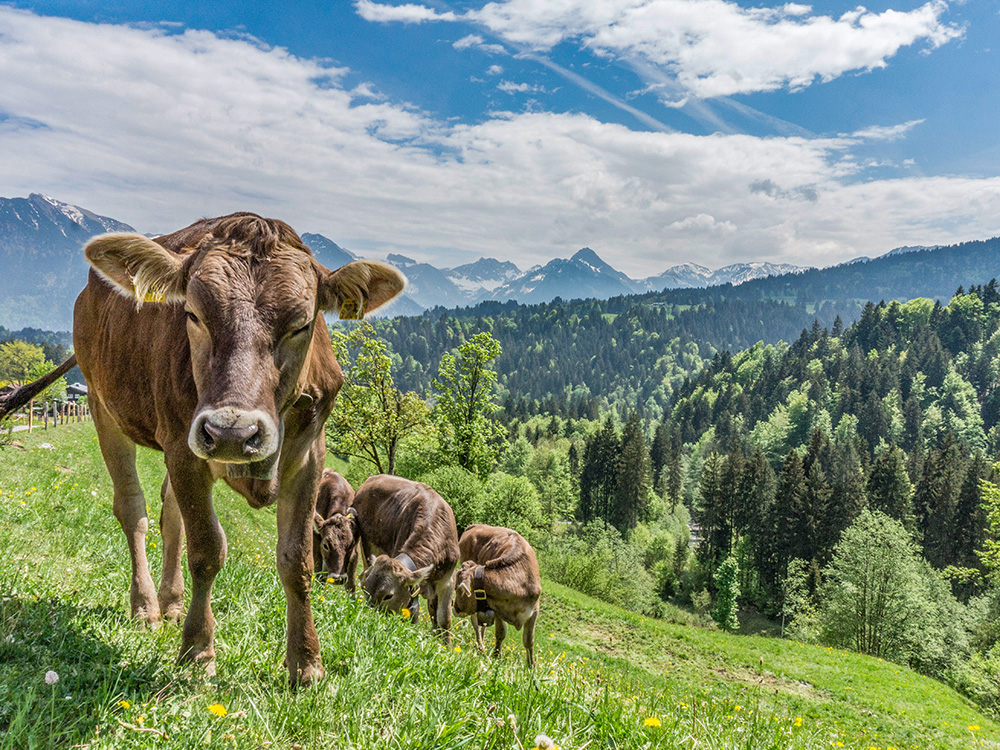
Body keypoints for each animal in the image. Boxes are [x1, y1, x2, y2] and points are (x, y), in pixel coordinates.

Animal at [6, 214, 406, 692]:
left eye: (301, 324)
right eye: (193, 315)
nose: (232, 432)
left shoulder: (310, 456)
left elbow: (296, 560)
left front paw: (306, 664)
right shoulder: (184, 446)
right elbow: (207, 550)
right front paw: (198, 653)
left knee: (169, 514)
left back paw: (172, 602)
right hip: (105, 407)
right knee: (134, 510)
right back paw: (147, 606)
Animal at [354, 478, 458, 644]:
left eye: (388, 596)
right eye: (365, 589)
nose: (370, 620)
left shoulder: (448, 581)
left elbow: (444, 618)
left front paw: (445, 646)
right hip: (366, 546)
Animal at [456, 524, 540, 668]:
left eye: (457, 589)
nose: (454, 607)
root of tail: (475, 525)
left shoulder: (534, 611)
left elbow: (529, 640)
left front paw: (531, 666)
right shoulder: (497, 609)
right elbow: (500, 633)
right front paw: (496, 656)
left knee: (482, 625)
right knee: (476, 623)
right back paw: (480, 647)